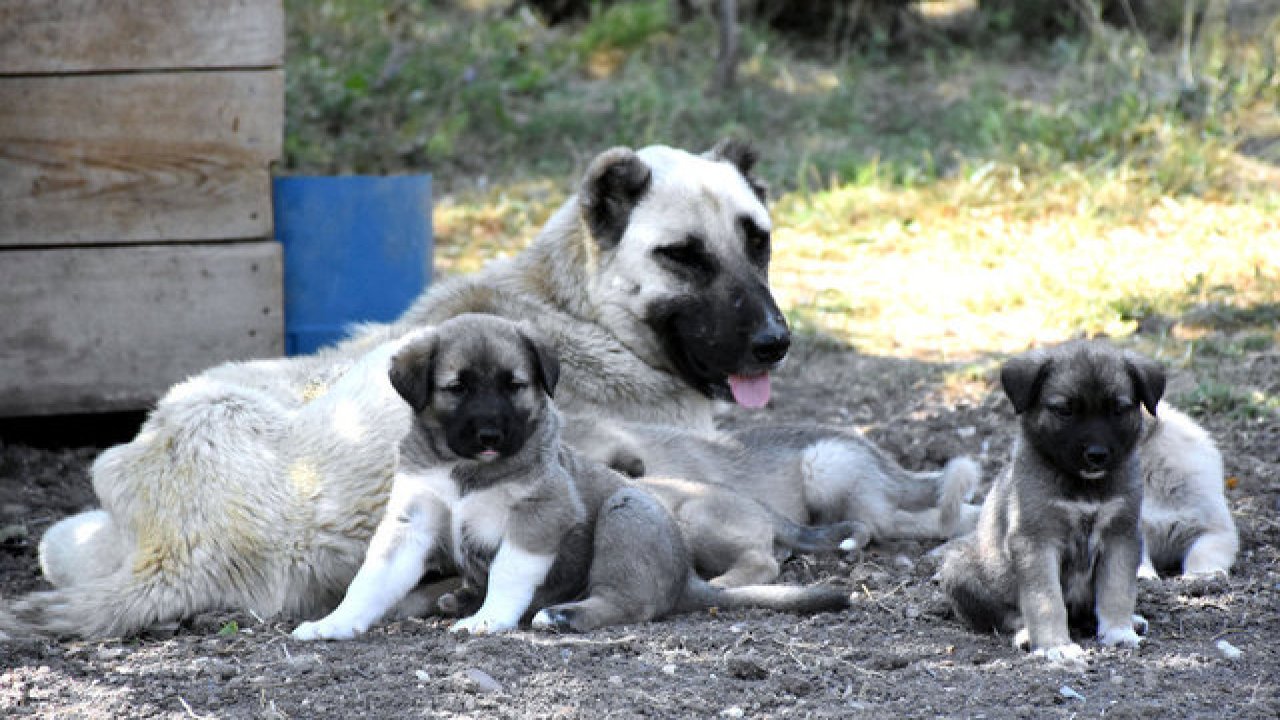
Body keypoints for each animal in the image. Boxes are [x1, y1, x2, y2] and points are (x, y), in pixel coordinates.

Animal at [10, 139, 788, 632]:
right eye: (683, 256)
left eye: (759, 241)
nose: (775, 343)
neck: (574, 307)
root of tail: (184, 553)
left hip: (92, 503)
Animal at [293, 313, 844, 638]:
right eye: (458, 387)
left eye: (514, 385)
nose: (491, 433)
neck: (464, 470)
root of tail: (688, 580)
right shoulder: (412, 519)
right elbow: (371, 580)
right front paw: (334, 624)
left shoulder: (540, 515)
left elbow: (510, 572)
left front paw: (490, 619)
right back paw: (462, 596)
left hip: (628, 511)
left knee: (629, 604)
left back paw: (561, 614)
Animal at [936, 338, 1167, 661]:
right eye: (1065, 410)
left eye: (1118, 410)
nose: (1097, 455)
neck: (1084, 486)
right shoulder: (1036, 541)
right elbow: (1044, 600)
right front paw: (1055, 645)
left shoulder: (1121, 535)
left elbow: (1117, 588)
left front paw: (1119, 631)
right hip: (959, 569)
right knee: (1009, 615)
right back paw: (1025, 635)